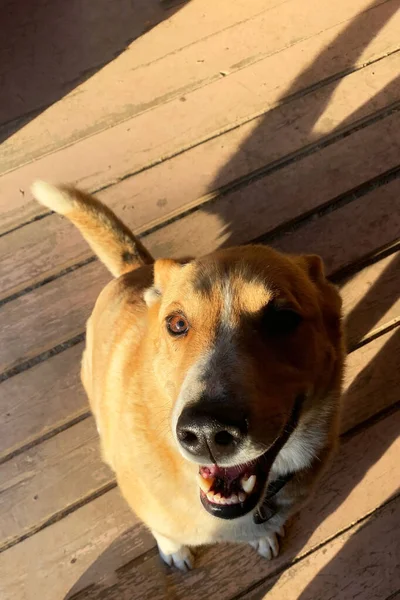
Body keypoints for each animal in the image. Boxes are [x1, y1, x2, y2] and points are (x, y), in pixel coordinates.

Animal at [32, 182, 344, 572]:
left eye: (283, 319)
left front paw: (263, 536)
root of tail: (139, 270)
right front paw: (174, 550)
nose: (207, 433)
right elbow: (163, 531)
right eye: (177, 324)